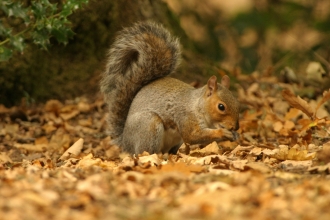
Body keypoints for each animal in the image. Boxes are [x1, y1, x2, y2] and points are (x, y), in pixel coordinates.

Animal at [100, 21, 240, 154]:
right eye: (221, 107)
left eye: (236, 102)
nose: (236, 127)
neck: (197, 106)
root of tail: (125, 142)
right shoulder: (185, 117)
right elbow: (191, 136)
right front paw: (222, 133)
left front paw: (236, 135)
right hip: (149, 125)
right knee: (145, 152)